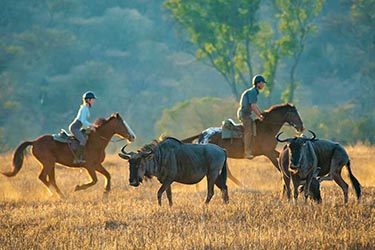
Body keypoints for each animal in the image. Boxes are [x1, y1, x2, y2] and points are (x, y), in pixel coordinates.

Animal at [2, 113, 136, 197]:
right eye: (123, 124)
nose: (133, 137)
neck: (96, 141)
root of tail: (34, 141)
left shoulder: (97, 165)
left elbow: (108, 175)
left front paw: (106, 192)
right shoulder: (89, 166)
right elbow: (94, 180)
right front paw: (78, 187)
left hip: (51, 164)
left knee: (51, 179)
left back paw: (60, 195)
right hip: (47, 163)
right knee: (43, 177)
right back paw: (55, 194)